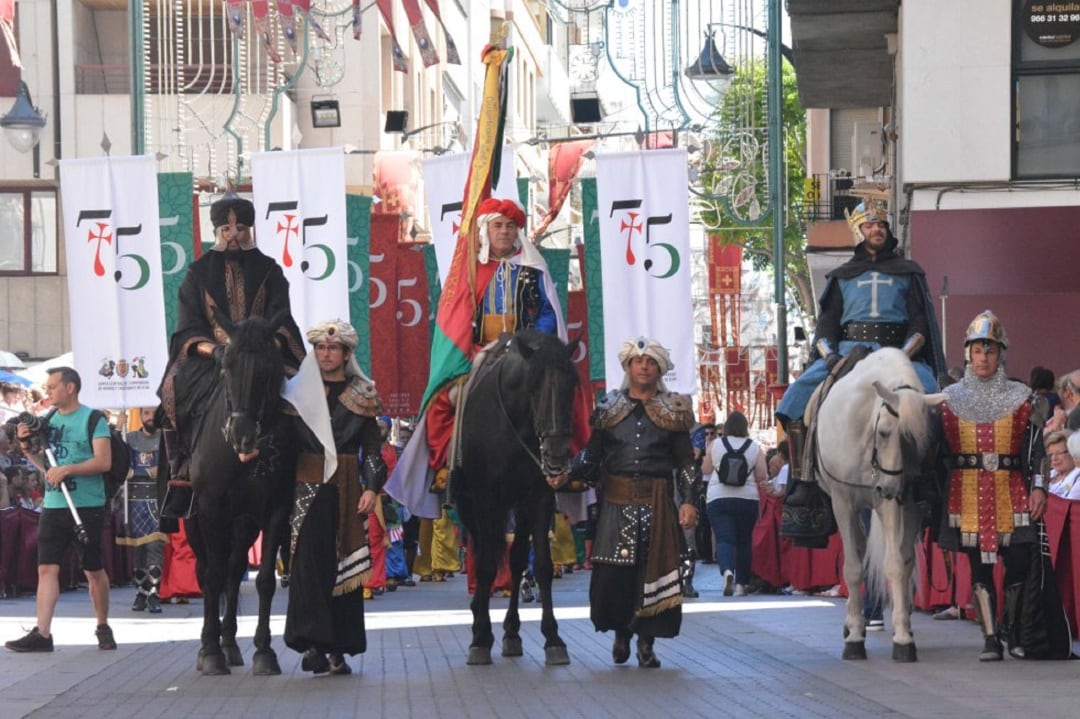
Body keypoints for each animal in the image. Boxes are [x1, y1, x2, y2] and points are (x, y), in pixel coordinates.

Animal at [182, 313, 295, 673]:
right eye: (226, 366)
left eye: (268, 368)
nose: (242, 435)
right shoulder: (209, 507)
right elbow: (212, 574)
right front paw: (210, 652)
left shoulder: (276, 509)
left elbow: (264, 581)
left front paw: (264, 651)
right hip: (195, 521)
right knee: (208, 571)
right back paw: (210, 647)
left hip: (243, 524)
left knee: (233, 571)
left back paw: (230, 644)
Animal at [449, 328, 578, 665]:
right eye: (532, 388)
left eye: (572, 385)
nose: (556, 457)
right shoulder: (485, 498)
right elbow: (485, 564)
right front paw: (480, 638)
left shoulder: (539, 497)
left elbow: (541, 564)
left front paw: (553, 638)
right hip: (470, 505)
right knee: (482, 551)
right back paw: (479, 618)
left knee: (518, 557)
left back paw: (510, 632)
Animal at [812, 347, 941, 660]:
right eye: (883, 432)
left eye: (917, 438)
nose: (888, 487)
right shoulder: (843, 502)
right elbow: (853, 568)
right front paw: (855, 638)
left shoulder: (893, 504)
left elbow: (895, 564)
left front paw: (903, 639)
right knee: (857, 551)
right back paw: (853, 622)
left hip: (908, 508)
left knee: (903, 558)